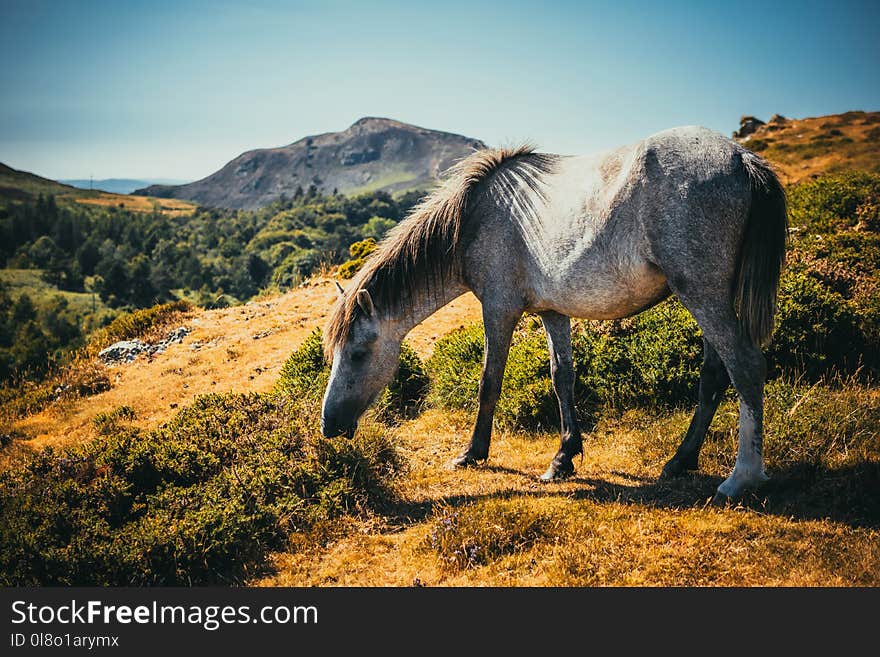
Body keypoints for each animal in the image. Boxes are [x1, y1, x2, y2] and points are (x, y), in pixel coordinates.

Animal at [320, 125, 788, 500]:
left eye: (358, 354)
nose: (329, 426)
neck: (475, 218)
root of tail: (741, 157)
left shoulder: (499, 310)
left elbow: (489, 382)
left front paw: (472, 453)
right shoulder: (552, 312)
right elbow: (562, 377)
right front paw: (564, 457)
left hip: (703, 294)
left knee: (745, 366)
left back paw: (742, 478)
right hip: (707, 298)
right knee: (714, 374)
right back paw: (681, 460)